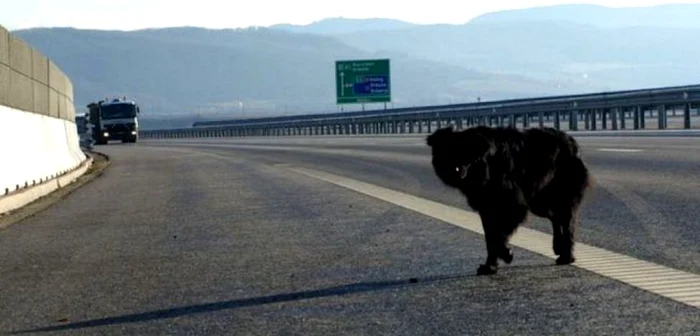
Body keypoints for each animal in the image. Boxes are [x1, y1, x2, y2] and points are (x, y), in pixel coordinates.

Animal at [426, 126, 592, 276]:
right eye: (446, 152)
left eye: (466, 152)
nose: (455, 170)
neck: (486, 167)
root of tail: (571, 141)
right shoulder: (486, 209)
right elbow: (490, 238)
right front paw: (490, 266)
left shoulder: (513, 206)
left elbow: (498, 236)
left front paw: (506, 254)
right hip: (539, 202)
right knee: (556, 218)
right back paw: (557, 247)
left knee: (567, 222)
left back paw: (567, 256)